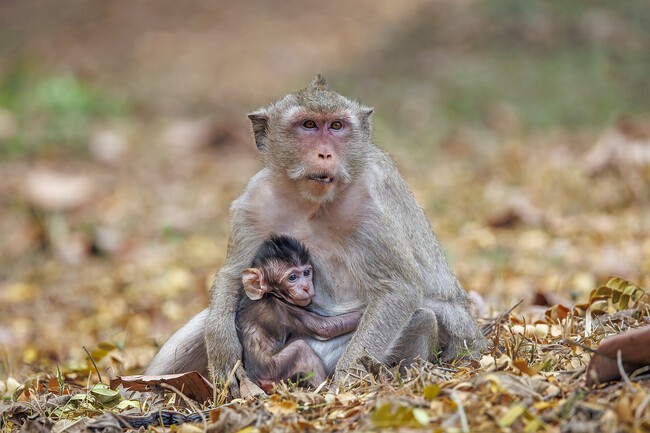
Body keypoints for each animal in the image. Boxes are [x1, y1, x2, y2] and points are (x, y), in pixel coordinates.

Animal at [236, 235, 362, 392]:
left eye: (306, 273)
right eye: (292, 277)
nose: (306, 287)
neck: (270, 294)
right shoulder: (282, 309)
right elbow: (324, 328)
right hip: (273, 371)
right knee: (301, 350)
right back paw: (327, 388)